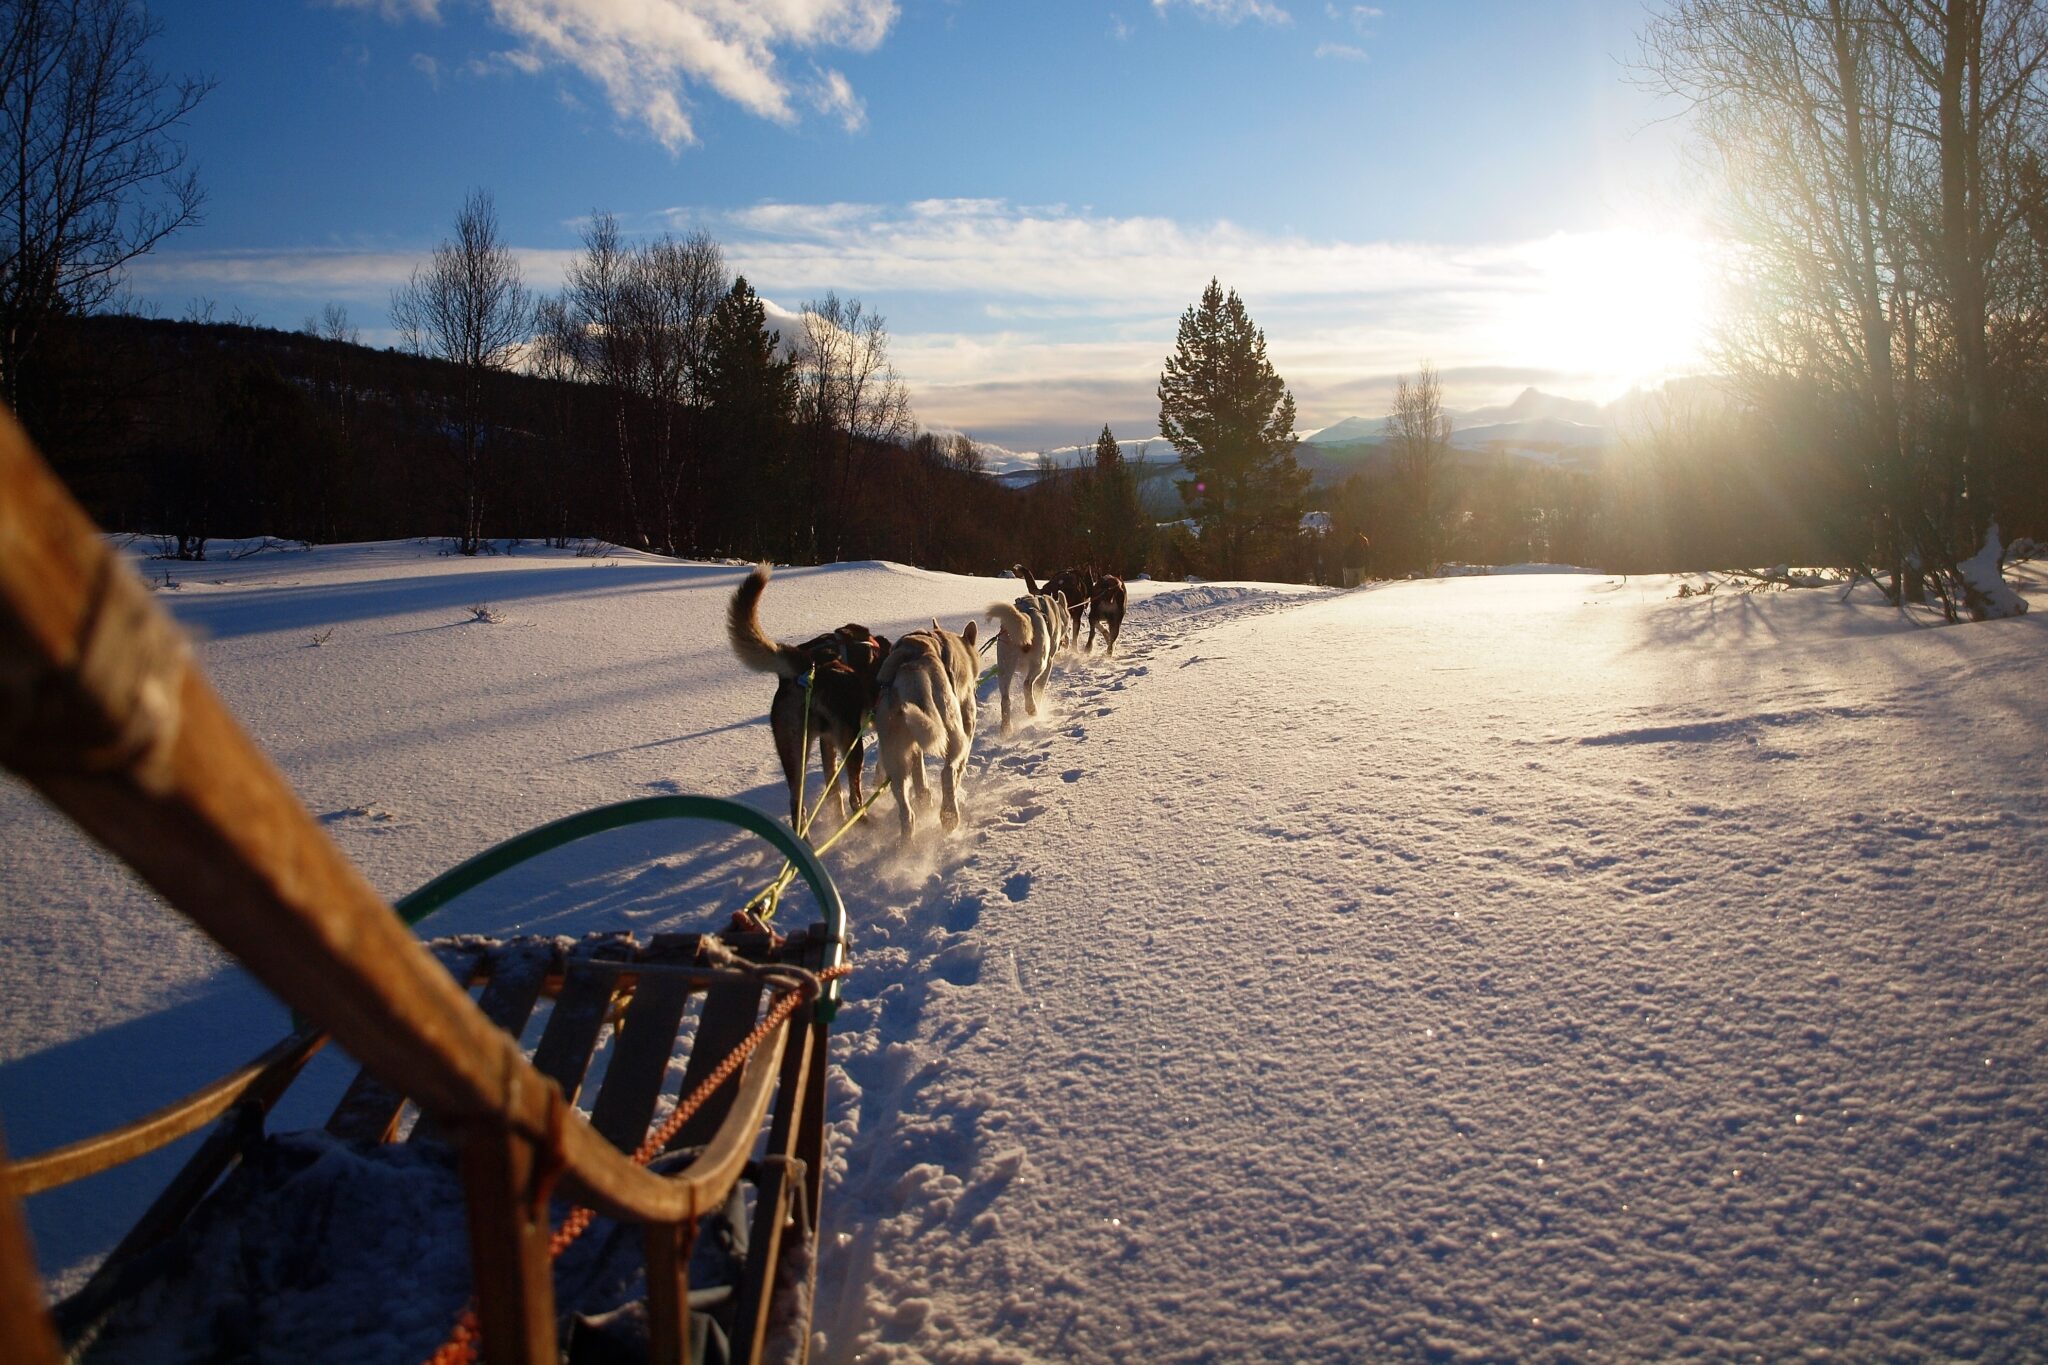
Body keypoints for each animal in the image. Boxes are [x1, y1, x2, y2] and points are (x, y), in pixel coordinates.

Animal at [729, 560, 888, 826]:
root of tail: (807, 663)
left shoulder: (827, 740)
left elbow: (833, 788)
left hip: (795, 749)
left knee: (801, 803)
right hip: (851, 745)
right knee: (854, 797)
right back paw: (863, 820)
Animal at [872, 618, 983, 834]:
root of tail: (910, 666)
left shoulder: (915, 746)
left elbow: (919, 773)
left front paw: (924, 798)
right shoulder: (968, 721)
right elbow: (959, 769)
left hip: (896, 753)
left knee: (904, 802)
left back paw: (908, 833)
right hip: (953, 733)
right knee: (947, 772)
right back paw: (949, 816)